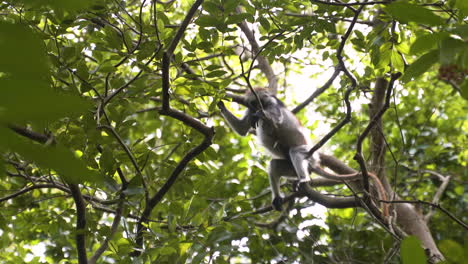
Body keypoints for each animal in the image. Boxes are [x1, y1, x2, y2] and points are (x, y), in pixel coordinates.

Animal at [218, 88, 390, 217]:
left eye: (255, 101)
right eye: (250, 103)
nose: (253, 108)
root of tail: (314, 162)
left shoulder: (272, 104)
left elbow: (276, 120)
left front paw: (261, 116)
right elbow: (242, 130)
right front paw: (220, 104)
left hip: (309, 154)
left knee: (295, 152)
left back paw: (304, 179)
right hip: (291, 167)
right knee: (274, 165)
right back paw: (278, 197)